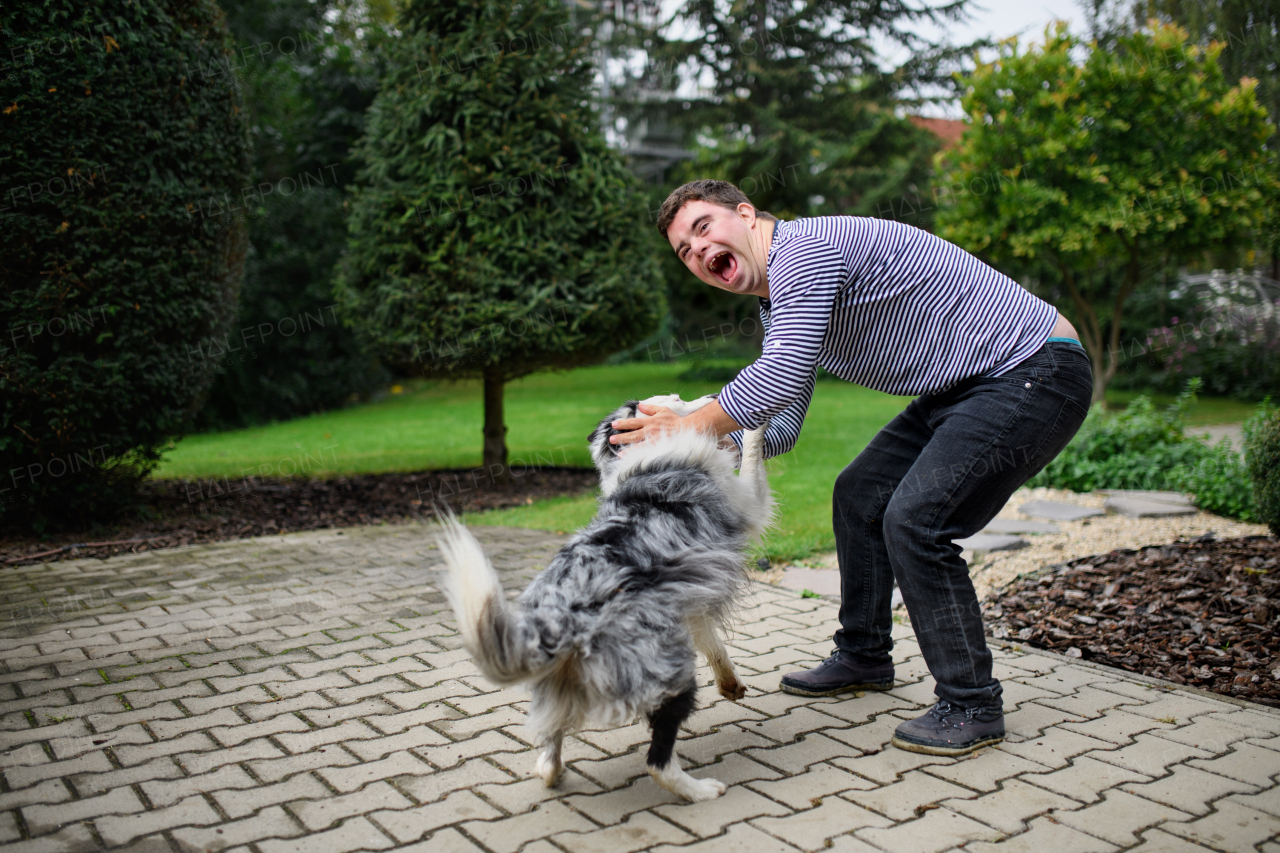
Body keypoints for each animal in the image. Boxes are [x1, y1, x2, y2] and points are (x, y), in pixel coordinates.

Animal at [435, 391, 773, 799]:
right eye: (677, 398)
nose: (712, 396)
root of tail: (562, 621)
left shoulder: (691, 588)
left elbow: (713, 643)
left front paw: (730, 682)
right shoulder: (747, 503)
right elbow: (753, 456)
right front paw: (758, 422)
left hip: (568, 683)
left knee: (551, 740)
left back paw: (552, 771)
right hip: (669, 674)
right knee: (657, 761)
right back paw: (700, 790)